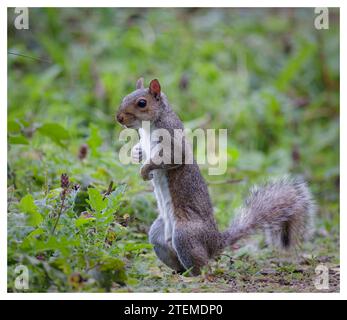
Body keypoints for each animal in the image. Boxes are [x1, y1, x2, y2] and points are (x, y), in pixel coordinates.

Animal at [117, 78, 316, 276]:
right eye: (125, 97)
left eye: (142, 103)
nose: (119, 117)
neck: (148, 126)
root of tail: (214, 243)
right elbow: (141, 150)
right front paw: (136, 154)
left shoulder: (172, 138)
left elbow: (173, 156)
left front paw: (145, 170)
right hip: (158, 235)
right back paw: (175, 273)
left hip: (185, 235)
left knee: (204, 266)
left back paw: (194, 277)